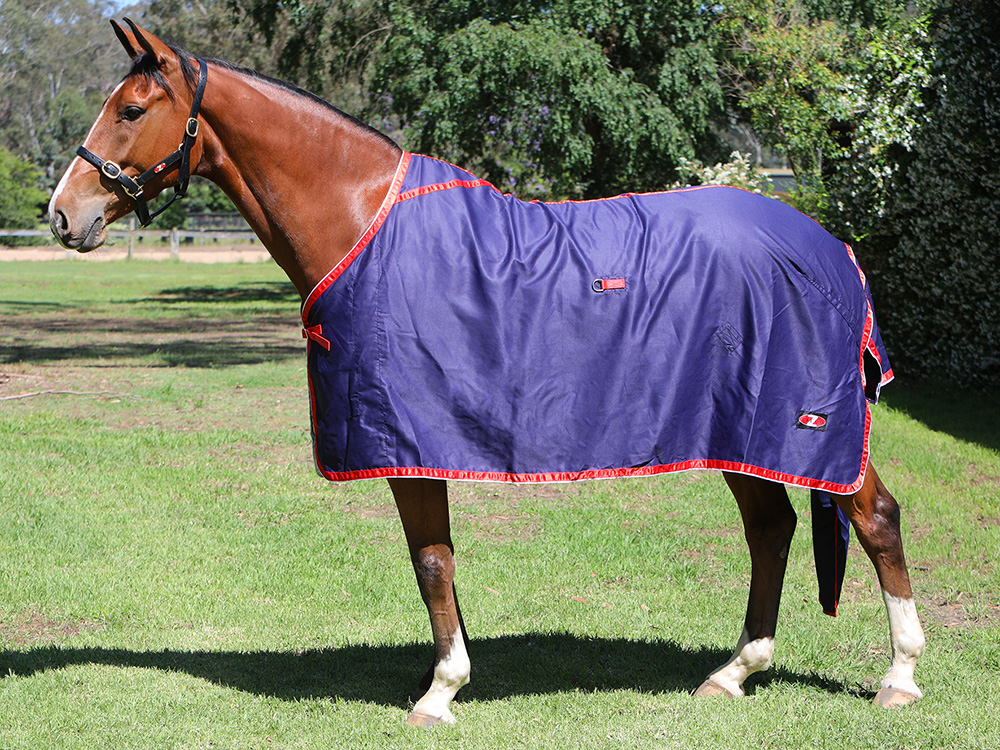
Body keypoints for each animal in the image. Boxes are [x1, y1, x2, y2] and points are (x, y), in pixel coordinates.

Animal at [48, 19, 925, 726]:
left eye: (132, 111)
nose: (63, 214)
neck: (363, 220)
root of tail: (831, 251)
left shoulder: (409, 438)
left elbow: (431, 560)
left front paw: (441, 692)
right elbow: (434, 560)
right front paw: (441, 677)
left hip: (809, 427)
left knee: (874, 518)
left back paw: (900, 678)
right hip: (742, 431)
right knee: (770, 529)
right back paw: (734, 672)